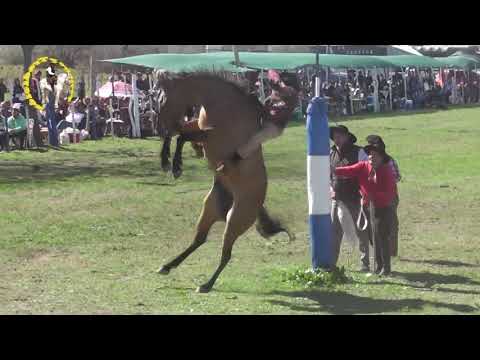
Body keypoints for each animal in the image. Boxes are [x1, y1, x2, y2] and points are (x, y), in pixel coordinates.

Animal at [156, 71, 290, 294]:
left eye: (162, 99)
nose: (159, 125)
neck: (219, 101)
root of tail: (258, 204)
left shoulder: (210, 135)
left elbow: (182, 136)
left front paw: (176, 166)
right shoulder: (198, 126)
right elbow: (179, 135)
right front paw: (167, 160)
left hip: (235, 221)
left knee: (226, 254)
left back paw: (206, 285)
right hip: (209, 210)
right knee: (199, 240)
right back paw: (167, 266)